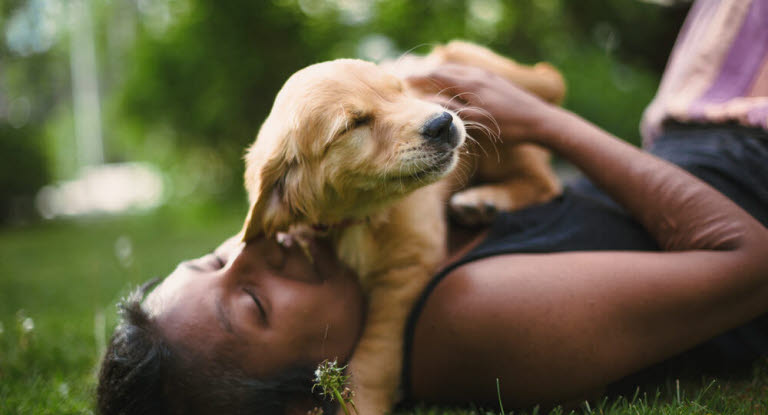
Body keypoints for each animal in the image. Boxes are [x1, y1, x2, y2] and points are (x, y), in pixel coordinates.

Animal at [244, 44, 564, 414]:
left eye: (399, 91)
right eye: (355, 124)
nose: (442, 123)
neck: (363, 215)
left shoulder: (404, 272)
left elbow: (374, 359)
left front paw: (363, 404)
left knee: (545, 181)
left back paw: (484, 200)